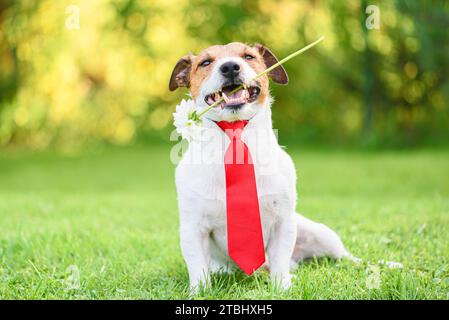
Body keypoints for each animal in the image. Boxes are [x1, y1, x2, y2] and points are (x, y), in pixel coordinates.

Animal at [170, 42, 356, 292]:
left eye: (248, 56)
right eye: (205, 62)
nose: (230, 67)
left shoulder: (283, 223)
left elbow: (279, 262)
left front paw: (282, 288)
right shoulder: (193, 228)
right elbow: (198, 269)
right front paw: (199, 293)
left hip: (320, 233)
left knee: (345, 257)